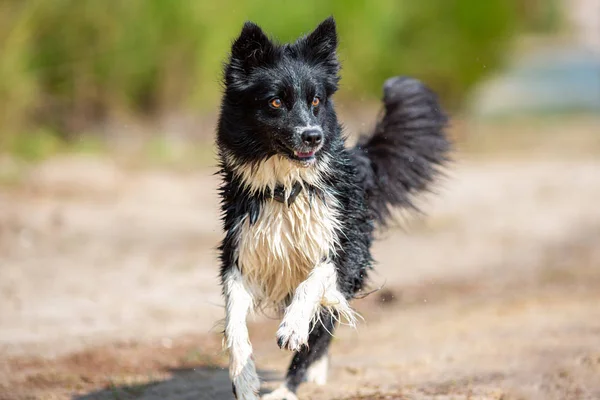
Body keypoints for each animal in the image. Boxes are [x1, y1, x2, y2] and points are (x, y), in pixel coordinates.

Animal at [217, 16, 450, 400]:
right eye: (276, 102)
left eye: (316, 100)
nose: (314, 136)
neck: (288, 189)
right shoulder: (241, 251)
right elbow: (234, 320)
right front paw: (244, 379)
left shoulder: (346, 249)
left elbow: (313, 283)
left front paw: (292, 328)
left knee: (320, 331)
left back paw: (292, 385)